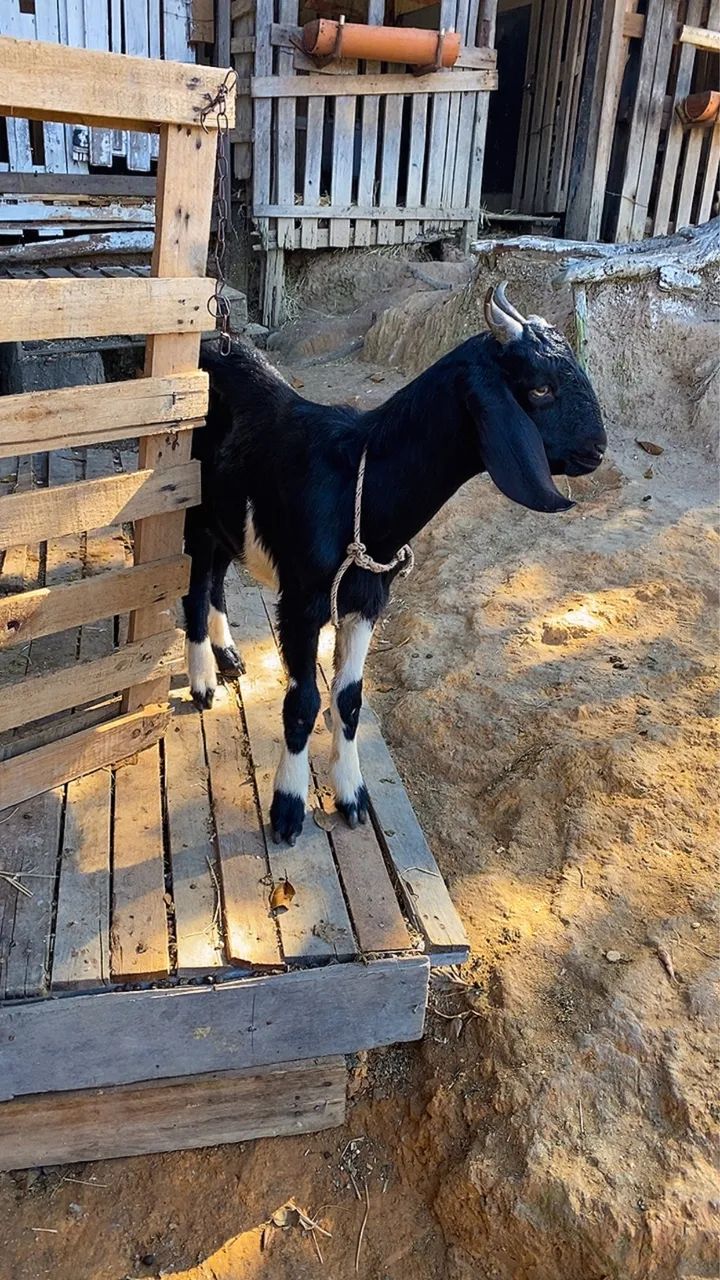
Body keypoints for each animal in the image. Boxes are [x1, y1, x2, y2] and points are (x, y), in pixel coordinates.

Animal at [183, 283, 607, 845]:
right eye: (540, 389)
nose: (597, 449)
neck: (357, 485)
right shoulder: (302, 602)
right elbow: (303, 703)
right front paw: (289, 808)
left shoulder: (368, 598)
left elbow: (348, 700)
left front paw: (352, 795)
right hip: (192, 510)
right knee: (194, 588)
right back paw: (203, 682)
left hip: (228, 521)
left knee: (217, 577)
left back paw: (228, 654)